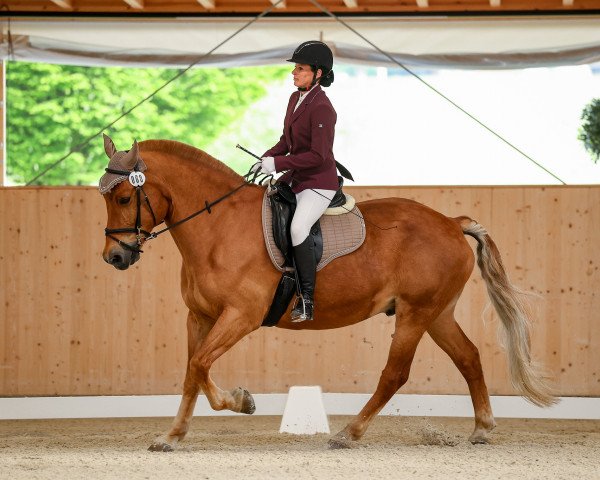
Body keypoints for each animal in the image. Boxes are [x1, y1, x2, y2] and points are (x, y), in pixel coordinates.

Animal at [101, 137, 556, 452]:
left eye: (124, 197)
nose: (115, 257)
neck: (218, 228)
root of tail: (449, 221)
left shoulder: (241, 316)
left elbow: (199, 365)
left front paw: (242, 401)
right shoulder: (200, 317)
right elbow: (192, 373)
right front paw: (172, 436)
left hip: (416, 313)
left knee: (395, 374)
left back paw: (348, 433)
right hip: (438, 313)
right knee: (469, 358)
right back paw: (482, 428)